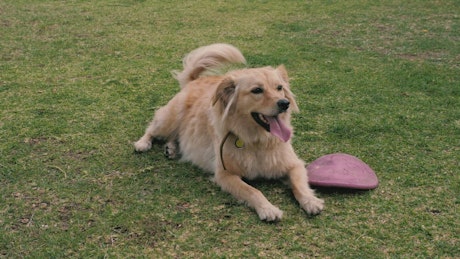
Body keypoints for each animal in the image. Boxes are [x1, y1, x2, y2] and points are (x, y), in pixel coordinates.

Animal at [135, 43, 326, 222]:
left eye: (279, 88)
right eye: (257, 90)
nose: (284, 103)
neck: (257, 141)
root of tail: (193, 81)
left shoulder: (294, 164)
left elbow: (299, 185)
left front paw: (310, 201)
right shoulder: (225, 175)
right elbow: (253, 191)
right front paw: (268, 208)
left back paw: (171, 148)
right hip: (169, 119)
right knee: (152, 128)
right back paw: (143, 143)